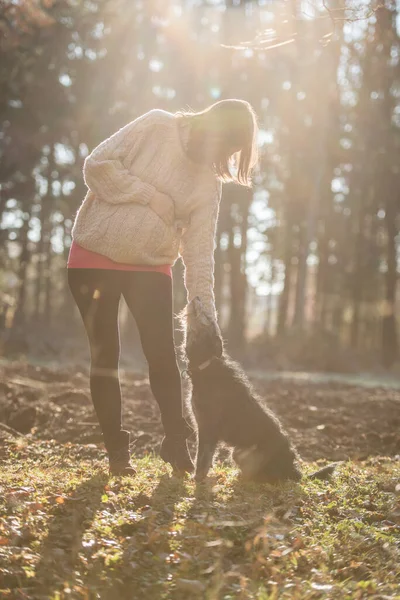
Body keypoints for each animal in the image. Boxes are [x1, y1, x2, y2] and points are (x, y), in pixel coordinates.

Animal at [183, 298, 336, 486]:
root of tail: (295, 472)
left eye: (208, 317)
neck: (207, 366)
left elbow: (202, 458)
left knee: (269, 476)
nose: (196, 298)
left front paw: (197, 479)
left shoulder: (208, 428)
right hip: (238, 452)